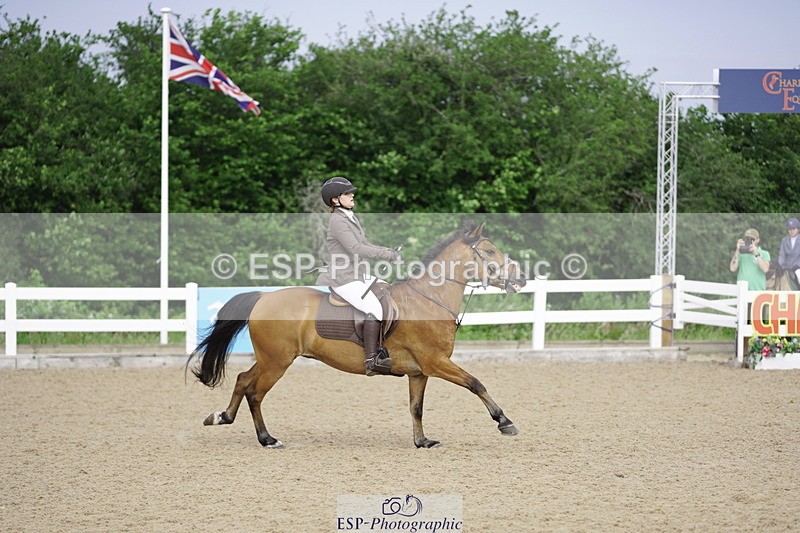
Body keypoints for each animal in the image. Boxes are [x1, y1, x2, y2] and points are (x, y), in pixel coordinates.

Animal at [187, 221, 527, 448]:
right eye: (489, 251)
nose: (521, 278)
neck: (428, 299)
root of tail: (263, 297)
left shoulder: (419, 372)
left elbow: (416, 407)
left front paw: (422, 441)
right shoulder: (437, 363)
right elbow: (476, 384)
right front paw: (505, 422)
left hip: (271, 358)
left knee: (243, 380)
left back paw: (222, 417)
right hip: (277, 362)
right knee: (255, 392)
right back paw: (267, 438)